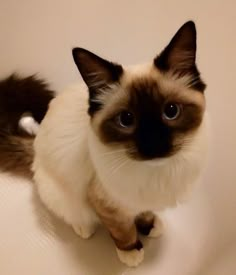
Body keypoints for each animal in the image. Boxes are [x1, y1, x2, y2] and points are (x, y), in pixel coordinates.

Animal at [0, 21, 206, 268]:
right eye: (126, 119)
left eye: (171, 111)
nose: (153, 144)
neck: (155, 173)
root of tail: (36, 148)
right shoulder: (105, 203)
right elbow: (123, 231)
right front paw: (132, 252)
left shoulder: (141, 200)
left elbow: (144, 213)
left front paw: (149, 226)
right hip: (58, 193)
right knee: (73, 213)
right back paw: (83, 228)